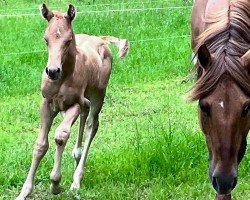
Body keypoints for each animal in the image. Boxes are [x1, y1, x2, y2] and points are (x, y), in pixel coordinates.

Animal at [15, 3, 129, 199]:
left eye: (68, 41)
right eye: (46, 40)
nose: (53, 71)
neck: (62, 79)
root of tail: (100, 40)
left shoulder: (74, 104)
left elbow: (60, 136)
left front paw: (55, 184)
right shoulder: (47, 104)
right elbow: (40, 145)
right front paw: (24, 192)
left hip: (98, 94)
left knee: (92, 124)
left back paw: (76, 179)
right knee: (85, 113)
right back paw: (76, 156)